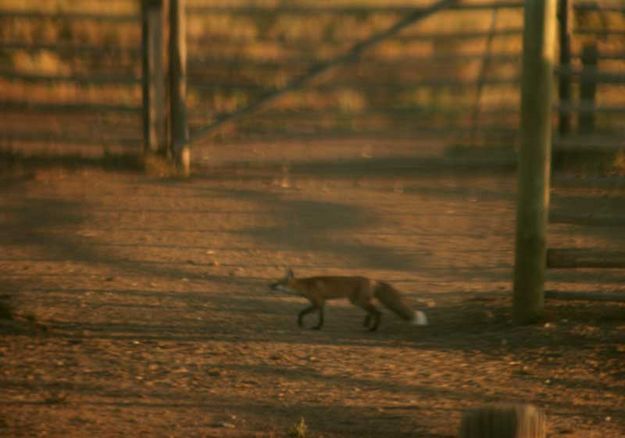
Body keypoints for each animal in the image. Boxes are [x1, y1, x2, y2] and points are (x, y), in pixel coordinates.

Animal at [266, 266, 426, 332]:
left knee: (378, 312)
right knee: (372, 311)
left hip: (359, 301)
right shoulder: (321, 303)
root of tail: (373, 279)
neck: (306, 285)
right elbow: (321, 318)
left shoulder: (317, 302)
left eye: (277, 283)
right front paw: (318, 327)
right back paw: (367, 323)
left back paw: (373, 328)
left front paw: (300, 323)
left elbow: (301, 313)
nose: (269, 286)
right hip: (358, 301)